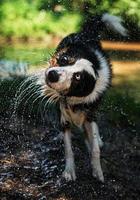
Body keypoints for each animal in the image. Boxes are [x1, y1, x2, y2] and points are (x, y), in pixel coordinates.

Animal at [38, 13, 127, 182]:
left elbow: (94, 148)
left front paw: (97, 171)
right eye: (64, 60)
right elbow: (68, 148)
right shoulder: (63, 111)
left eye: (78, 77)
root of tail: (87, 32)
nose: (52, 75)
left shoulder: (90, 108)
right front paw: (69, 171)